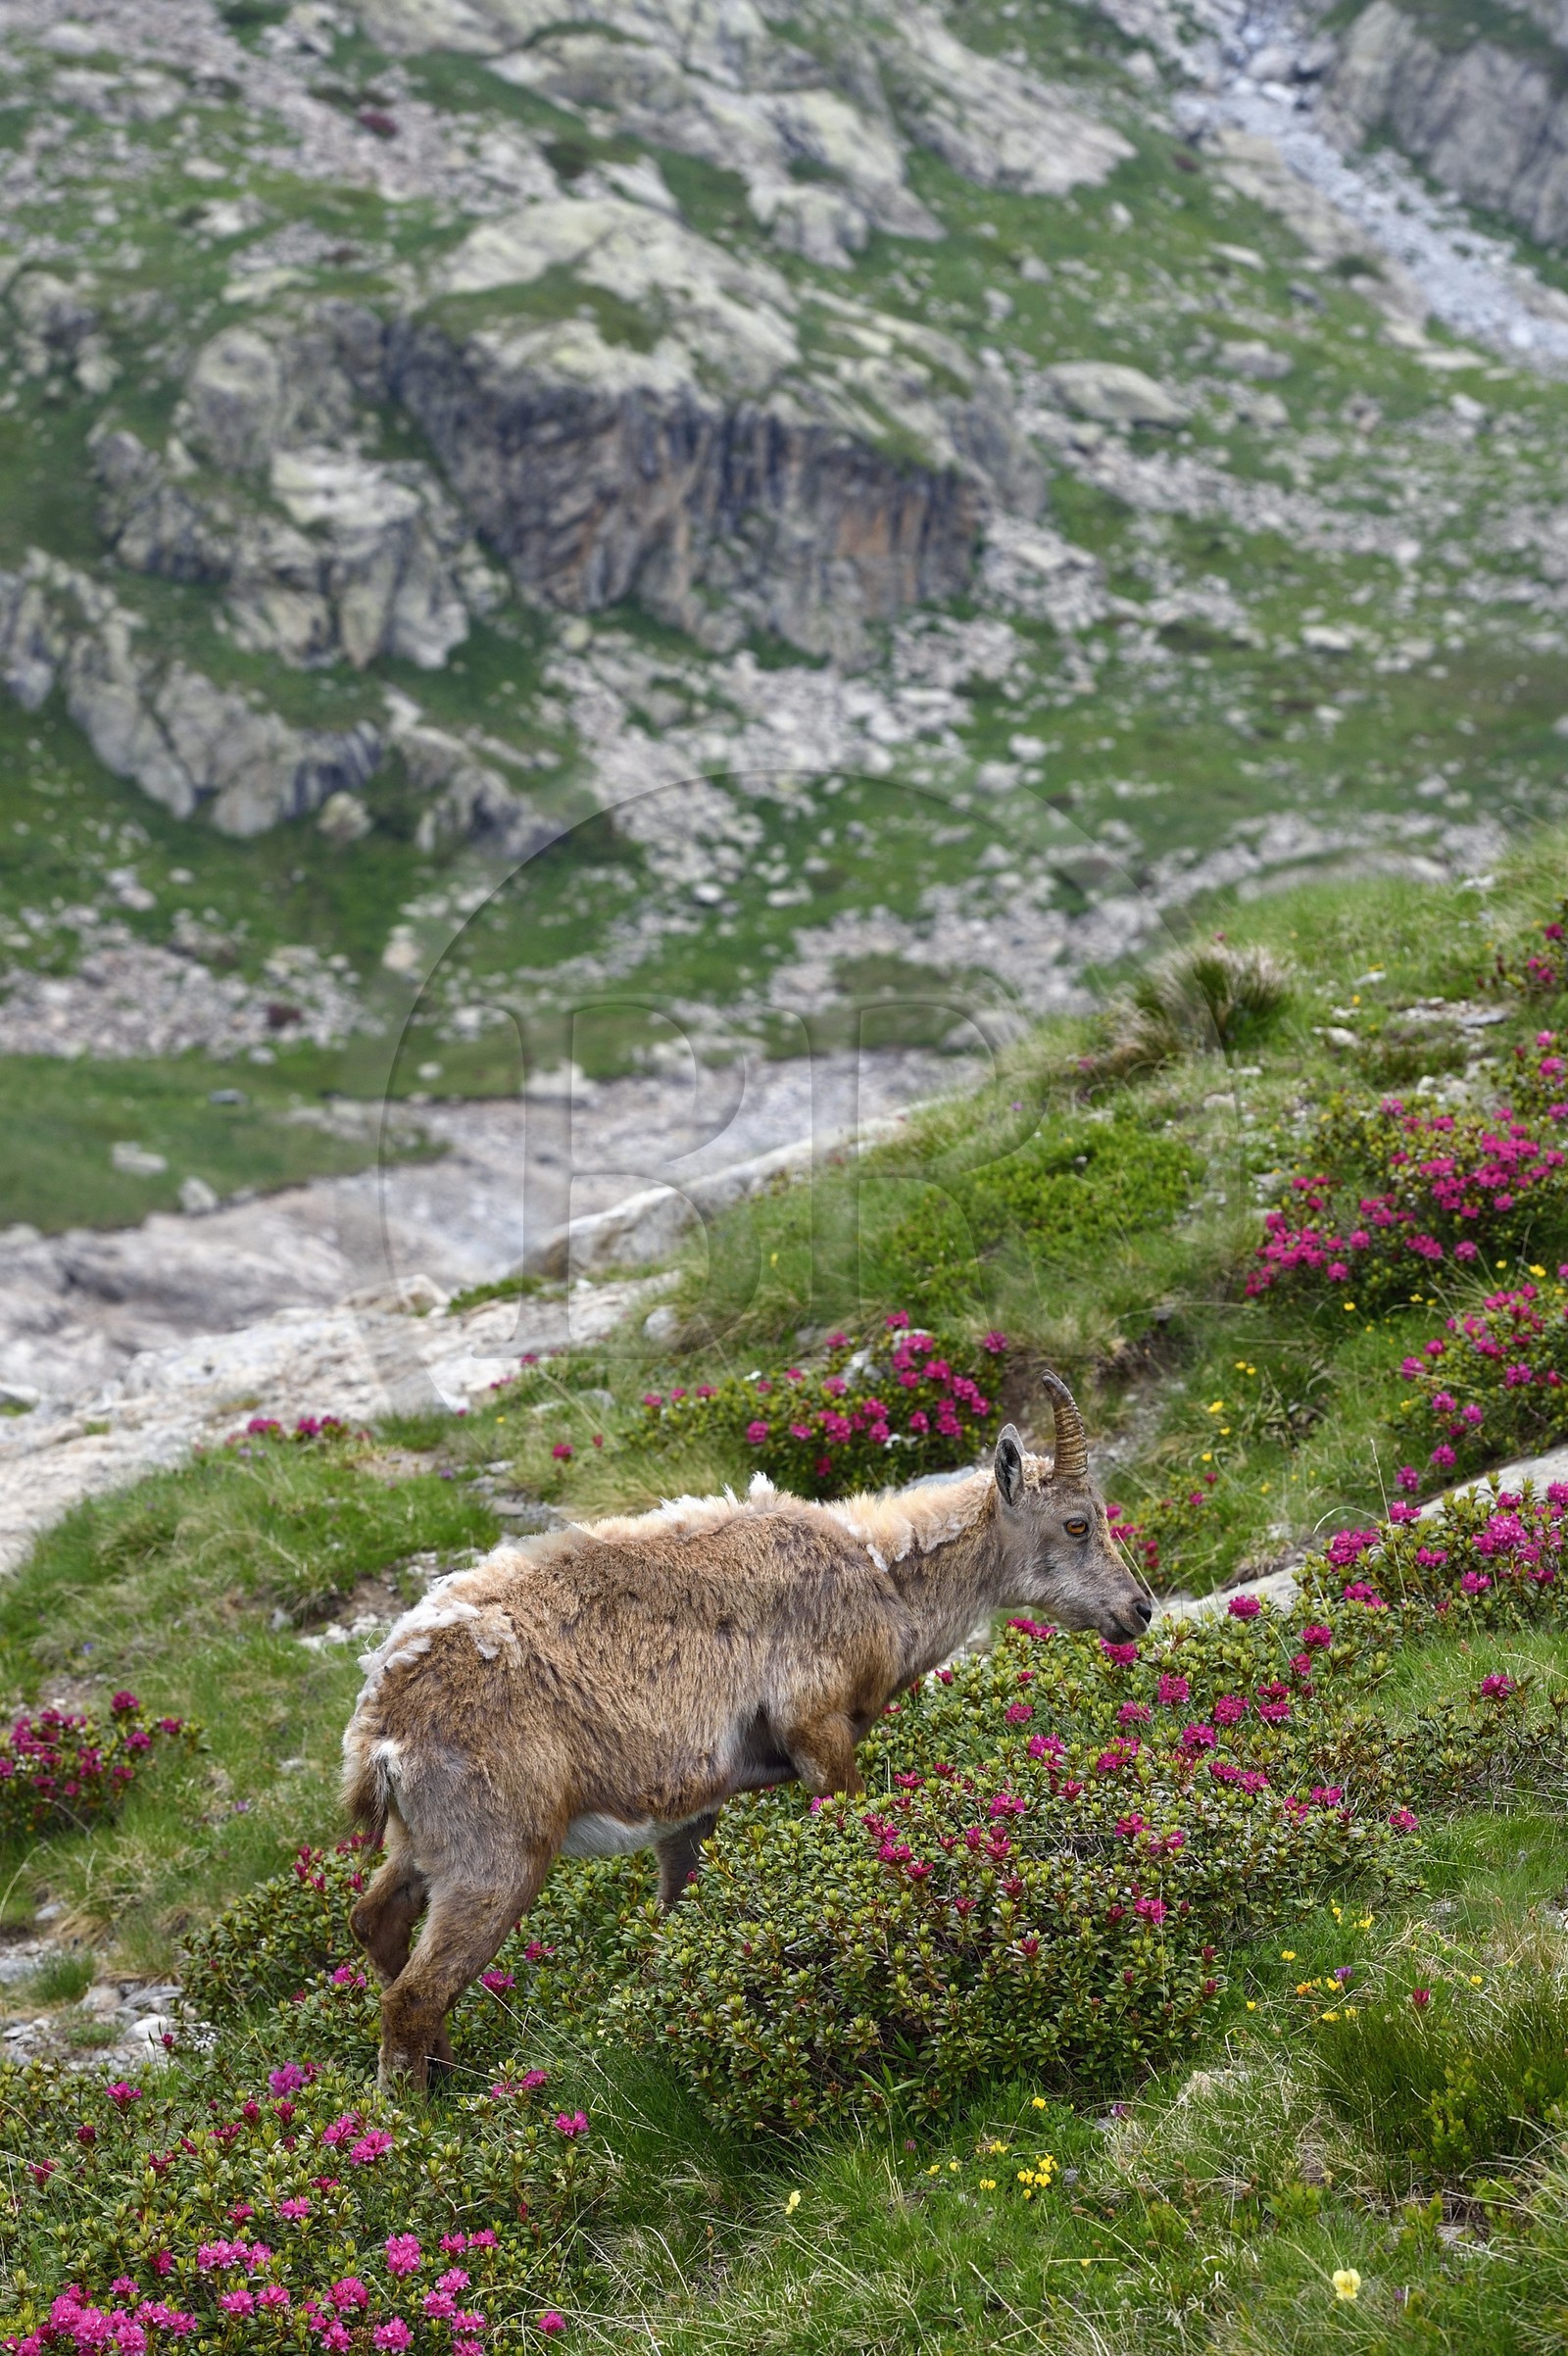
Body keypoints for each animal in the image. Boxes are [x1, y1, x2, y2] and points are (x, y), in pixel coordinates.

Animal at [341, 1371, 1150, 2089]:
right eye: (1077, 1523)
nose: (1139, 1610)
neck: (879, 1576)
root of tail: (379, 1727)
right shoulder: (817, 1730)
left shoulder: (689, 1809)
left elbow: (672, 1915)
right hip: (497, 1856)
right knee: (412, 1997)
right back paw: (416, 2124)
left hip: (424, 1844)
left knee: (374, 1922)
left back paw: (445, 2076)